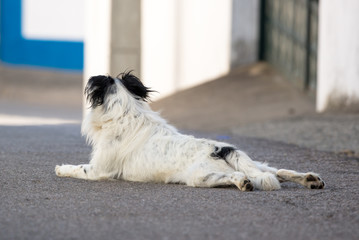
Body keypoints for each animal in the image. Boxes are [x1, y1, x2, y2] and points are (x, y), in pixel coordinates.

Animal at [55, 71, 326, 191]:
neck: (126, 112)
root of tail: (222, 149)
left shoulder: (98, 170)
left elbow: (76, 168)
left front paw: (60, 168)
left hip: (201, 177)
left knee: (236, 177)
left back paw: (243, 183)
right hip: (257, 165)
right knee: (277, 171)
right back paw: (309, 179)